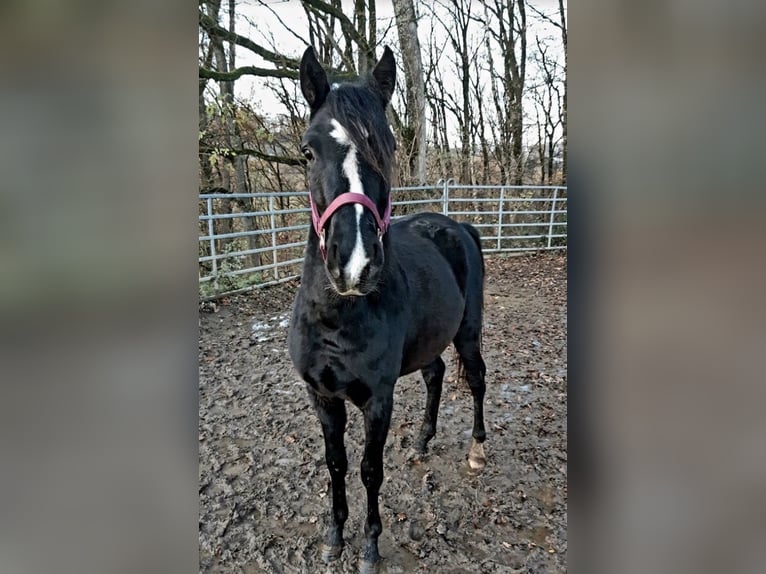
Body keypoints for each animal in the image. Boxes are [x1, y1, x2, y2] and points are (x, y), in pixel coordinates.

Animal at [288, 45, 488, 573]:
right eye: (308, 150)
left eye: (389, 147)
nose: (355, 264)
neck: (337, 319)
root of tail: (457, 226)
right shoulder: (323, 397)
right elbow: (336, 463)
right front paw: (334, 536)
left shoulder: (378, 399)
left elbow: (369, 470)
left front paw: (370, 547)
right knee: (436, 374)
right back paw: (422, 440)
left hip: (468, 333)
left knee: (477, 380)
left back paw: (477, 451)